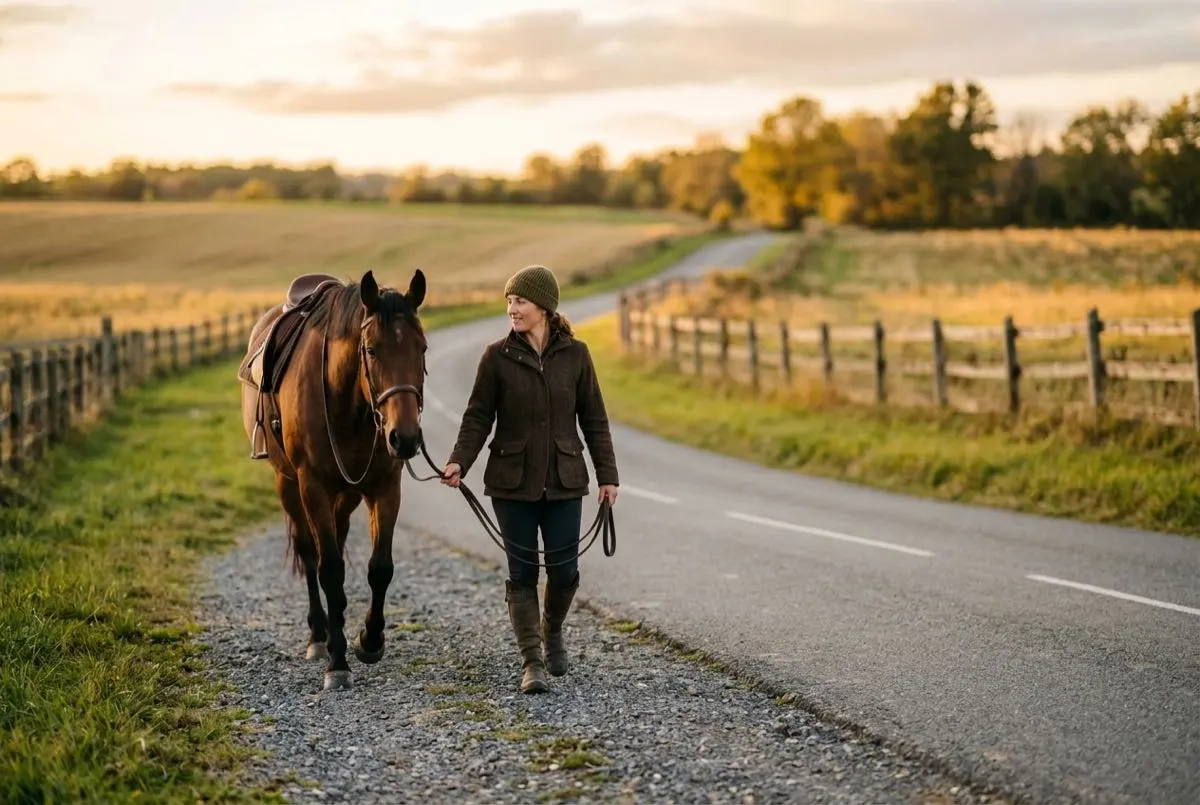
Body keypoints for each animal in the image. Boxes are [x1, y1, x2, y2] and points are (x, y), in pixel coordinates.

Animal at [239, 268, 428, 691]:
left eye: (422, 348)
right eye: (371, 349)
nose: (405, 437)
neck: (347, 401)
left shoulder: (384, 488)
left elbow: (380, 568)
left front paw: (369, 641)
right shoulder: (313, 487)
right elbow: (328, 569)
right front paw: (338, 660)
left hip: (347, 494)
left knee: (338, 542)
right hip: (288, 484)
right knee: (311, 552)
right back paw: (319, 635)